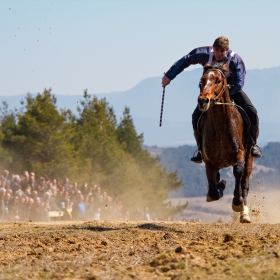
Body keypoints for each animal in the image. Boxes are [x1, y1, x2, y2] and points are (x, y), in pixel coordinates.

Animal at [197, 61, 254, 223]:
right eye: (201, 81)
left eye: (217, 81)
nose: (203, 101)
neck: (221, 126)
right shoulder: (209, 161)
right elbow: (213, 190)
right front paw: (220, 186)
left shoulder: (240, 154)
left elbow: (238, 171)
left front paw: (237, 202)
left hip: (250, 159)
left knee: (245, 184)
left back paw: (244, 214)